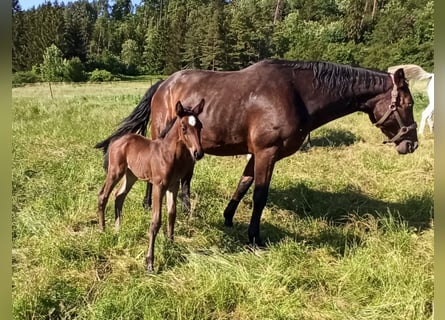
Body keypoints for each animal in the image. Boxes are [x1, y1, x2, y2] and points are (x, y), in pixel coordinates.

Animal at [97, 99, 205, 272]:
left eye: (200, 126)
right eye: (184, 128)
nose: (198, 153)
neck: (169, 155)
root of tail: (118, 140)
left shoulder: (173, 186)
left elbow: (172, 214)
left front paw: (170, 243)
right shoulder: (158, 186)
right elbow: (156, 222)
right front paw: (150, 263)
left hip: (131, 175)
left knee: (119, 196)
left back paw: (118, 230)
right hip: (115, 171)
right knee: (103, 195)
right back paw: (102, 230)